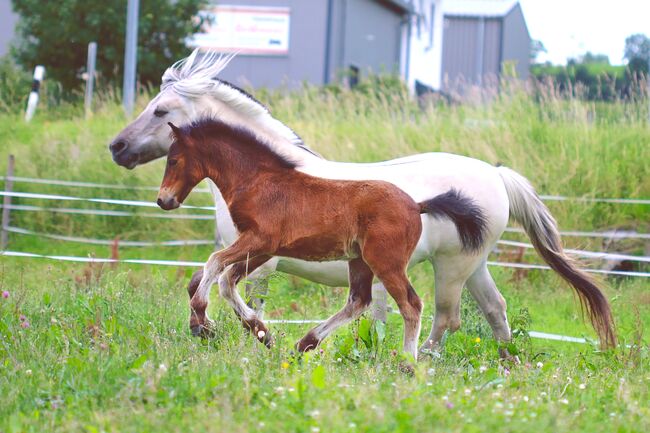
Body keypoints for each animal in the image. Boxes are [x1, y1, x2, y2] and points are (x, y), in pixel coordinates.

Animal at [157, 118, 486, 358]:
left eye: (173, 160)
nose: (163, 200)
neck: (258, 182)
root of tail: (417, 205)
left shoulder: (260, 240)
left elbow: (215, 264)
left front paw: (200, 320)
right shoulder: (263, 249)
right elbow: (227, 281)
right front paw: (260, 332)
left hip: (386, 262)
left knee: (411, 305)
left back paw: (407, 363)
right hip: (359, 261)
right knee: (359, 301)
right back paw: (305, 343)